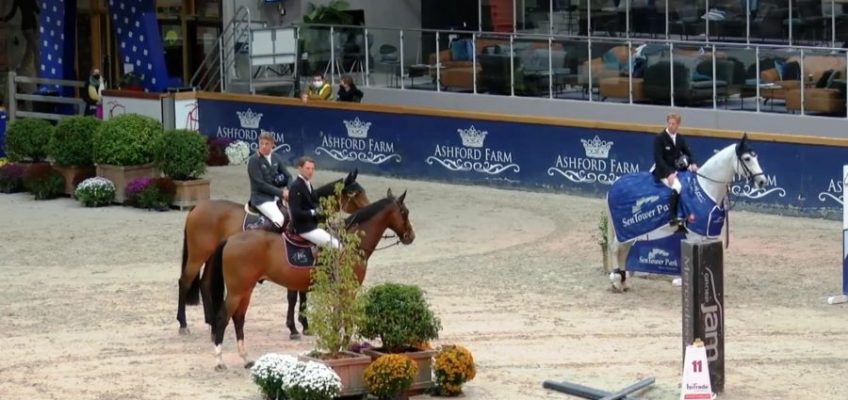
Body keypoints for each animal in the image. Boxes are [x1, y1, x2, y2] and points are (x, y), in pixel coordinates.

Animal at [175, 169, 368, 334]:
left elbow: (301, 294)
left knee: (204, 283)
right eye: (355, 193)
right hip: (197, 256)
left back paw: (210, 321)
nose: (368, 207)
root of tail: (197, 207)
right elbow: (295, 296)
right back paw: (183, 324)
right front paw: (296, 327)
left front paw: (303, 325)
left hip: (210, 256)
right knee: (184, 282)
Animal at [207, 189, 416, 370]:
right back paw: (219, 361)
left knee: (239, 318)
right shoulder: (349, 290)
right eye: (404, 212)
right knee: (223, 318)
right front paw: (344, 347)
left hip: (246, 290)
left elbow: (337, 317)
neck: (351, 243)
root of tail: (231, 239)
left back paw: (245, 358)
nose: (410, 236)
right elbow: (347, 320)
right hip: (237, 291)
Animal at [604, 134, 768, 290]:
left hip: (632, 232)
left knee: (623, 251)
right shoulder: (694, 234)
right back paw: (616, 282)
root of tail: (613, 185)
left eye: (756, 157)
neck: (706, 186)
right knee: (615, 249)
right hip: (624, 230)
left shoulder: (709, 233)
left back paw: (623, 283)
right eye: (747, 158)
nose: (762, 182)